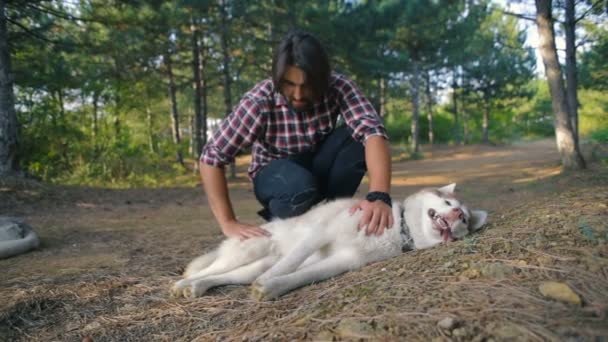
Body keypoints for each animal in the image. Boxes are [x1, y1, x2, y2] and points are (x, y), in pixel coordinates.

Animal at [173, 184, 486, 300]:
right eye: (448, 203)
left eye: (465, 221)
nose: (457, 215)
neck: (399, 228)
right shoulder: (320, 234)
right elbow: (292, 261)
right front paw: (271, 279)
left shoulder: (342, 261)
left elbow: (300, 275)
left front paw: (271, 287)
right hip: (250, 249)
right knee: (209, 268)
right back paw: (181, 285)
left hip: (247, 267)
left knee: (223, 276)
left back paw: (196, 288)